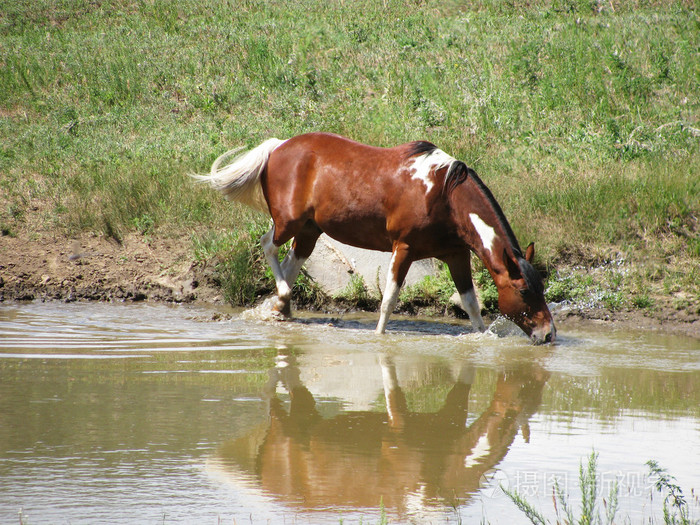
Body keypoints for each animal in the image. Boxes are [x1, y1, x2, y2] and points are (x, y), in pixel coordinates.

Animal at [194, 132, 556, 344]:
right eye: (524, 291)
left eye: (541, 288)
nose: (548, 334)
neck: (442, 194)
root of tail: (278, 147)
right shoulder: (404, 248)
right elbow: (388, 300)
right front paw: (380, 340)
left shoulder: (456, 255)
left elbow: (470, 304)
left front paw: (481, 338)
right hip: (289, 223)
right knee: (268, 245)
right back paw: (281, 298)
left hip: (310, 230)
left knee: (292, 263)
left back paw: (282, 308)